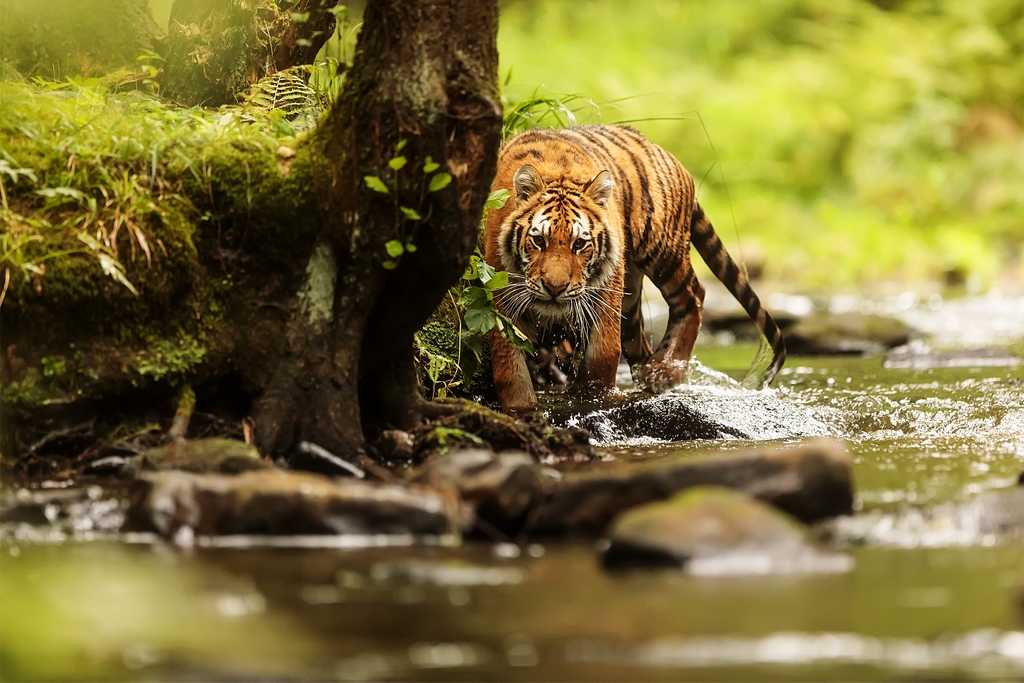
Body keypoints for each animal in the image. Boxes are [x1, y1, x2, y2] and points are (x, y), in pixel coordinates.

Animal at [483, 124, 786, 413]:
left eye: (579, 244)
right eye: (538, 241)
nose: (555, 288)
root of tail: (663, 152)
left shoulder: (605, 290)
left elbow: (603, 355)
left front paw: (595, 400)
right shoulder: (503, 294)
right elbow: (509, 367)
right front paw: (521, 409)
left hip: (660, 249)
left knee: (694, 295)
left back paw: (665, 371)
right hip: (631, 299)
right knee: (640, 342)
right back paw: (650, 374)